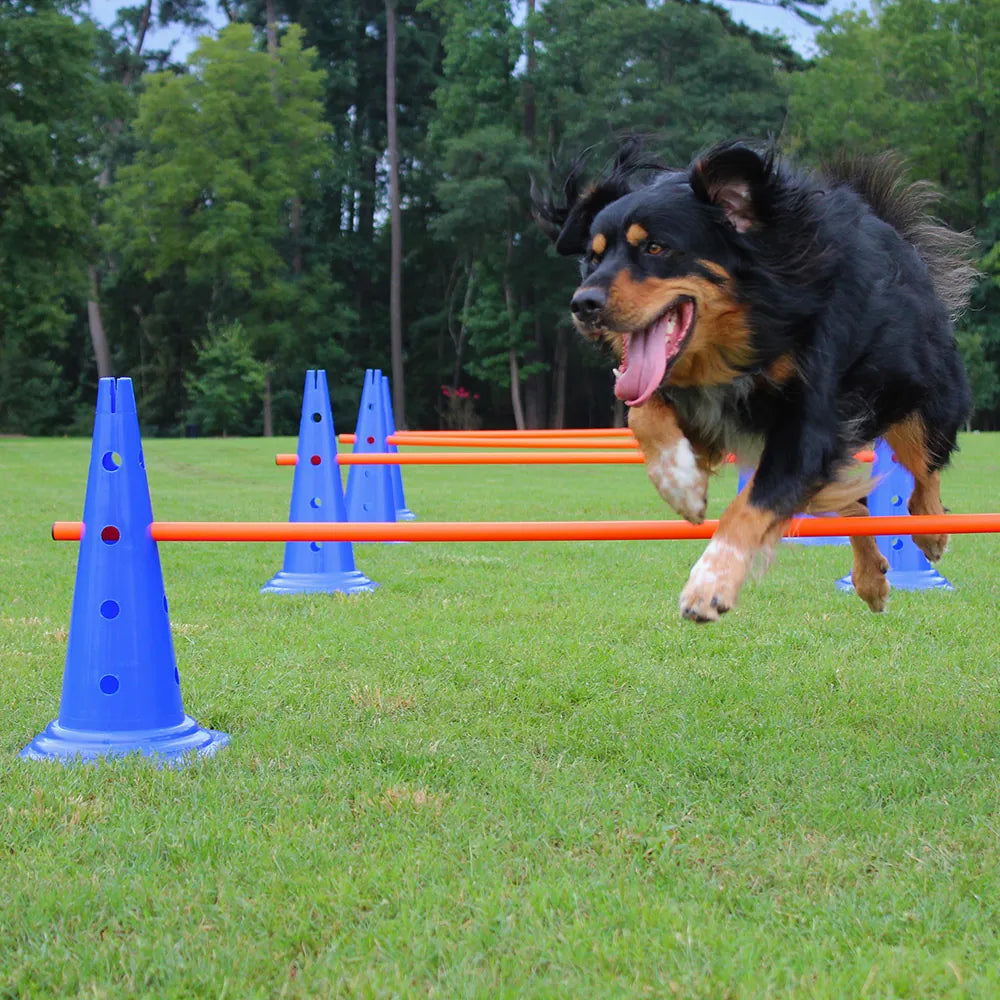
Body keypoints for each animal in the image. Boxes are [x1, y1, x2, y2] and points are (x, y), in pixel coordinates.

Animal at [540, 141, 976, 620]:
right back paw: (871, 578)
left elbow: (754, 502)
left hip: (918, 394)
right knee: (853, 502)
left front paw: (710, 582)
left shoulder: (811, 423)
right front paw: (681, 483)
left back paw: (931, 531)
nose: (583, 305)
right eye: (594, 257)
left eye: (656, 247)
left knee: (923, 468)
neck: (756, 320)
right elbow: (643, 415)